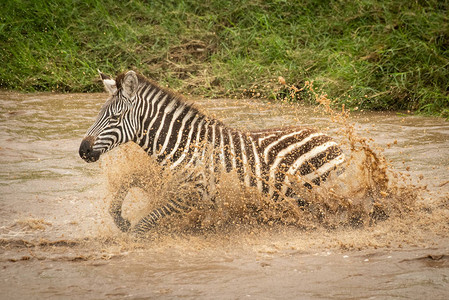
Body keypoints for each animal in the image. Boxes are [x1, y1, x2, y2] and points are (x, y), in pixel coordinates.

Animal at [80, 70, 344, 234]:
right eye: (99, 115)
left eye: (115, 118)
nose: (83, 150)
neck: (182, 145)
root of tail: (333, 141)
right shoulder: (162, 181)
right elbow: (125, 187)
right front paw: (121, 221)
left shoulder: (194, 195)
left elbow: (144, 225)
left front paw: (133, 233)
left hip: (311, 191)